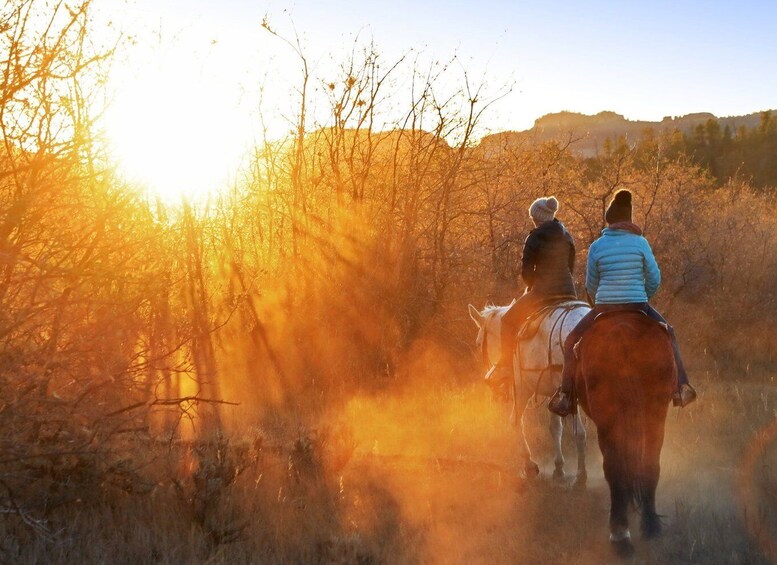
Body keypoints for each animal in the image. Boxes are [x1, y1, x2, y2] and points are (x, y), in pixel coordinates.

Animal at [466, 302, 588, 482]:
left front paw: (529, 464)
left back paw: (581, 476)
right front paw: (558, 468)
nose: (490, 379)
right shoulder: (554, 392)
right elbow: (555, 428)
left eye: (478, 342)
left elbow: (515, 421)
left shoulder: (522, 387)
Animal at [572, 310, 676, 552]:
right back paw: (649, 524)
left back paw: (619, 532)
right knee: (649, 462)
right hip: (655, 412)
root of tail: (622, 331)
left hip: (608, 420)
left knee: (614, 466)